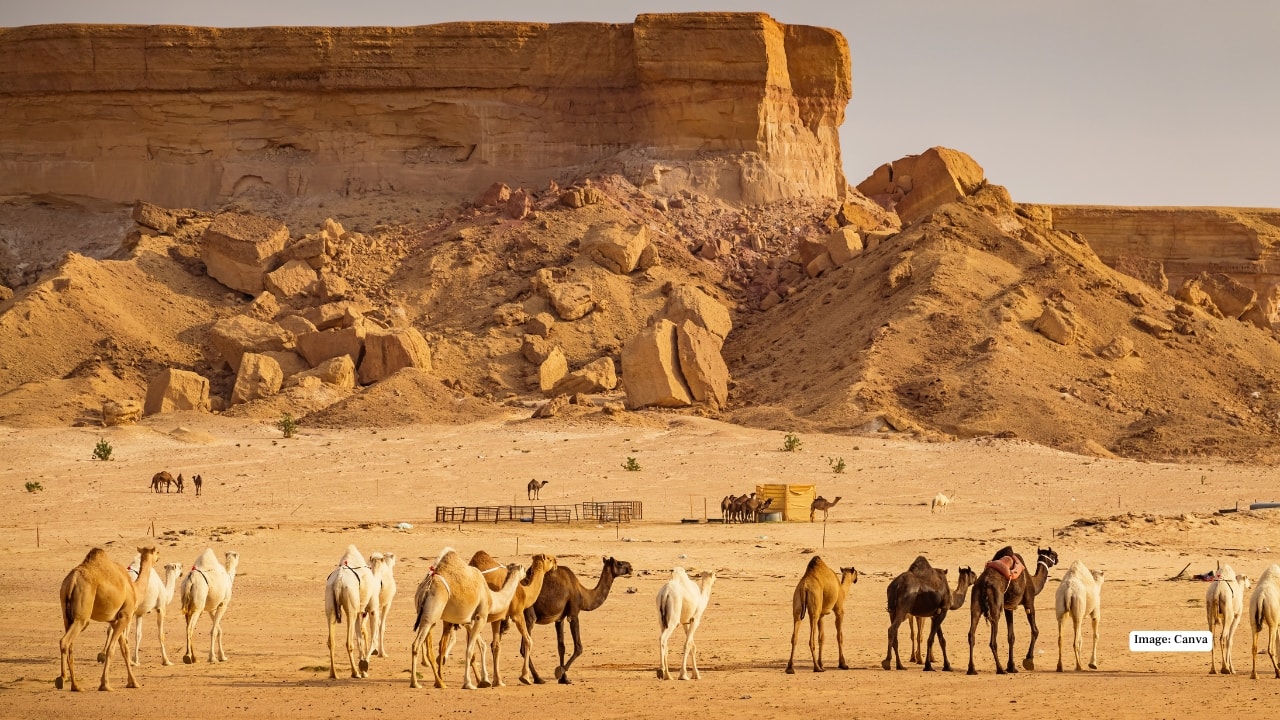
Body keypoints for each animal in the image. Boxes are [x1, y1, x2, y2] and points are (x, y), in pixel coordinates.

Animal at [57, 546, 157, 691]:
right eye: (157, 552)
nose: (158, 558)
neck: (134, 589)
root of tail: (72, 581)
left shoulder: (115, 620)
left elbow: (124, 650)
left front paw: (133, 682)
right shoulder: (125, 615)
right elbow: (112, 649)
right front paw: (105, 684)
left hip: (66, 615)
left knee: (70, 644)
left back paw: (76, 686)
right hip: (82, 614)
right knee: (65, 641)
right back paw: (62, 679)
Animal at [324, 545, 382, 679]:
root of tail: (338, 580)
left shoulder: (359, 611)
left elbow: (360, 638)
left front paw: (363, 667)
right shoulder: (373, 608)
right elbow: (372, 638)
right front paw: (364, 666)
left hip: (330, 601)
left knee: (331, 641)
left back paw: (333, 673)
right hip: (350, 605)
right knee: (349, 642)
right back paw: (355, 672)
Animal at [523, 556, 633, 684]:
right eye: (619, 563)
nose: (630, 567)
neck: (584, 595)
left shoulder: (559, 618)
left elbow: (561, 647)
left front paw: (564, 679)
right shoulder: (573, 614)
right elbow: (579, 647)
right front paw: (559, 672)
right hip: (529, 614)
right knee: (525, 645)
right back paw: (537, 678)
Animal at [966, 546, 1059, 675]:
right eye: (1053, 554)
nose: (1058, 558)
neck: (1033, 582)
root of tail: (985, 583)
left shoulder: (1008, 607)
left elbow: (1011, 636)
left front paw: (1011, 666)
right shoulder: (1029, 601)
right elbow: (1035, 630)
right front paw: (1028, 660)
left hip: (975, 600)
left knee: (971, 634)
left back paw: (972, 669)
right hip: (995, 605)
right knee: (992, 640)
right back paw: (1000, 669)